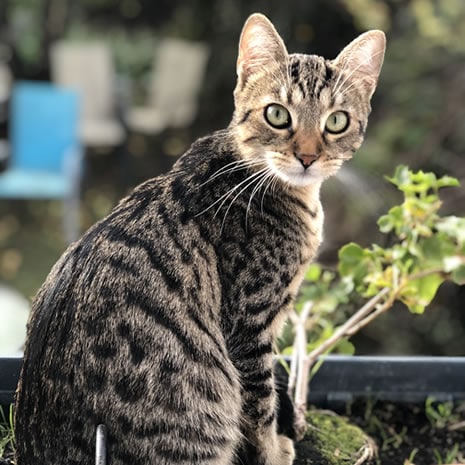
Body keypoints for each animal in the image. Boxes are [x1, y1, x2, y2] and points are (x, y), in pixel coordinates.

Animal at [14, 10, 384, 464]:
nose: (308, 156)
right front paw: (276, 449)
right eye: (278, 115)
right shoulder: (249, 327)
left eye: (336, 121)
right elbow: (260, 407)